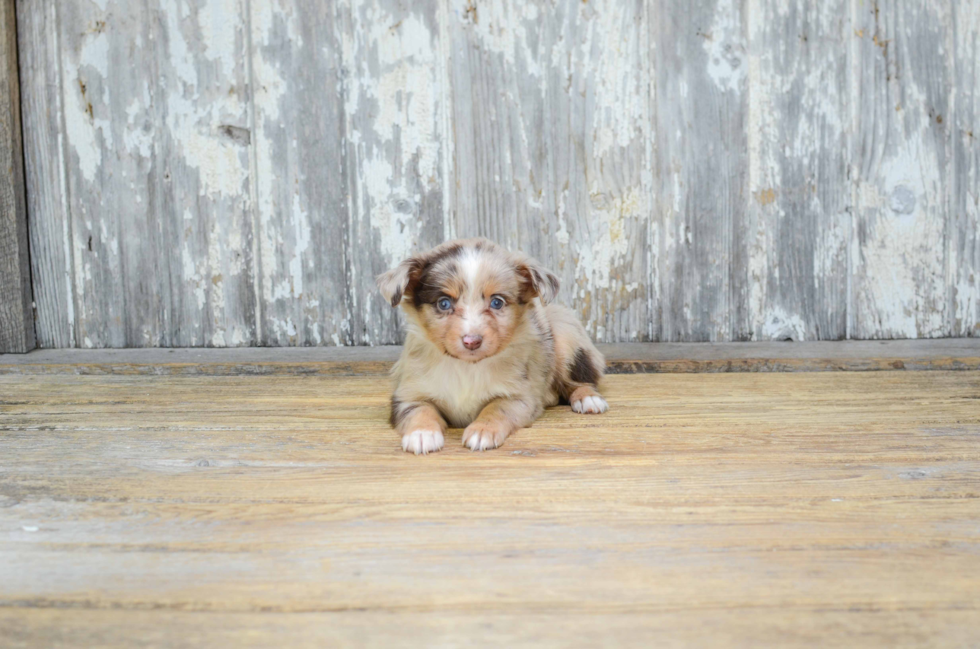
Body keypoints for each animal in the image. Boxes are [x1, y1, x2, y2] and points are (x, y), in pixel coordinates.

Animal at [374, 235, 604, 454]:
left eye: (497, 302)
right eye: (444, 303)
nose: (471, 341)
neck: (466, 367)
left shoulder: (518, 396)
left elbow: (495, 408)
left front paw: (482, 430)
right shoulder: (408, 394)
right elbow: (420, 410)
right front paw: (422, 434)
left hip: (565, 336)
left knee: (581, 380)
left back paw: (588, 399)